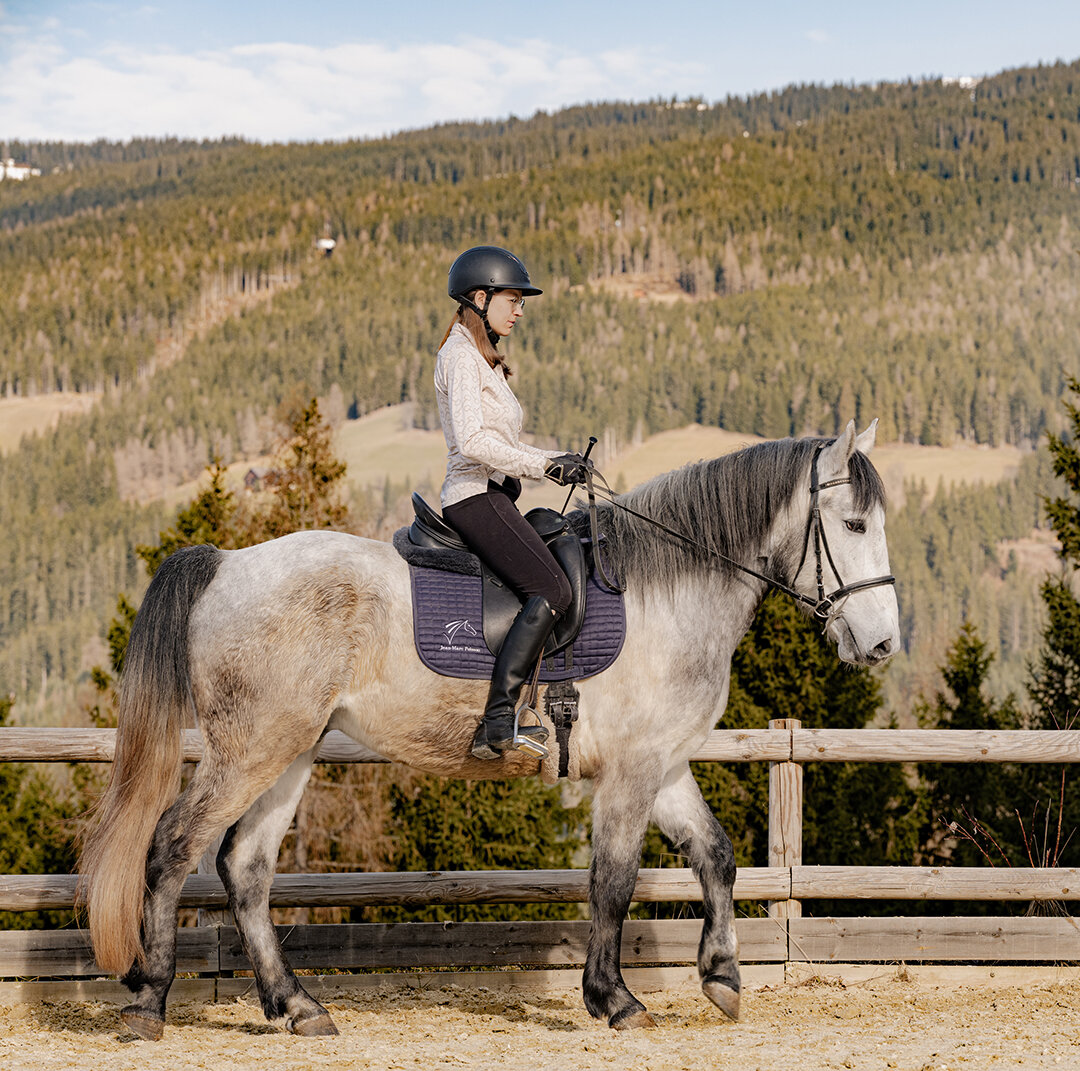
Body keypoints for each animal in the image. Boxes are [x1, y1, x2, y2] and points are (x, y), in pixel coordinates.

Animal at [78, 420, 899, 1040]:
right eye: (853, 523)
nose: (883, 643)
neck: (669, 591)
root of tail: (224, 565)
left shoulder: (662, 765)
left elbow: (717, 855)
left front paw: (722, 976)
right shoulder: (631, 771)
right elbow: (612, 881)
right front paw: (615, 999)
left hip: (290, 752)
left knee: (245, 866)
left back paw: (299, 1005)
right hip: (252, 748)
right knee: (172, 845)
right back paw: (149, 1001)